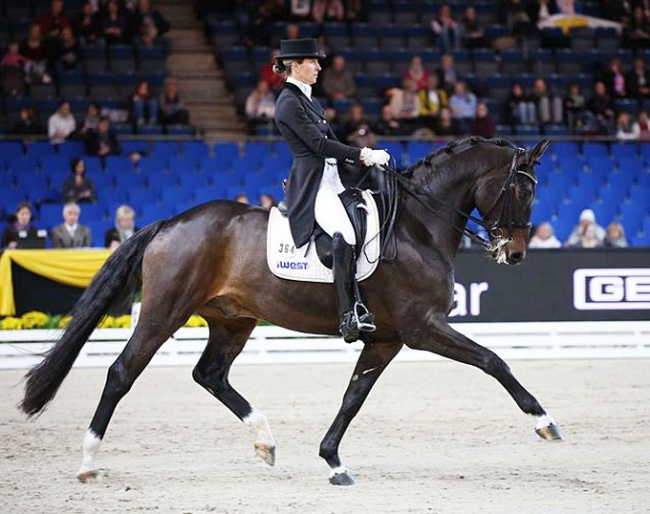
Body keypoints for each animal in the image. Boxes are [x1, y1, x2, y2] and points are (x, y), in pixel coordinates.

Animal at [20, 135, 556, 484]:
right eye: (523, 189)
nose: (515, 254)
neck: (416, 226)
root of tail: (170, 222)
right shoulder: (421, 327)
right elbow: (493, 360)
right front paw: (544, 421)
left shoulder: (386, 338)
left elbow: (353, 396)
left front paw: (333, 460)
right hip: (163, 312)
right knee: (121, 372)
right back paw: (88, 462)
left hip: (232, 319)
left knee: (209, 374)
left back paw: (265, 441)